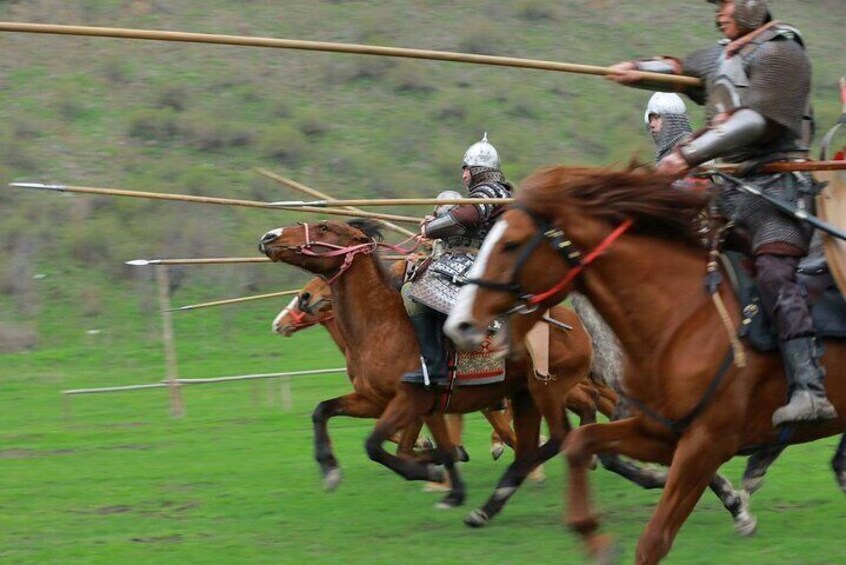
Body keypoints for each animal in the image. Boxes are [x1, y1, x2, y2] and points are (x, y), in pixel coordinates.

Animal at [258, 217, 596, 520]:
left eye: (324, 227)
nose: (269, 236)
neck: (380, 324)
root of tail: (578, 327)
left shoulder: (410, 400)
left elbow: (376, 446)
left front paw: (431, 474)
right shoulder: (380, 401)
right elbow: (323, 411)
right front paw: (330, 469)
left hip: (547, 389)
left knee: (559, 435)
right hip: (525, 395)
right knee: (532, 445)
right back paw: (491, 504)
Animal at [444, 165, 846, 560]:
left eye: (511, 244)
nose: (460, 325)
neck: (682, 320)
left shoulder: (705, 444)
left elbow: (654, 539)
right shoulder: (660, 432)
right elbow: (580, 442)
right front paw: (594, 536)